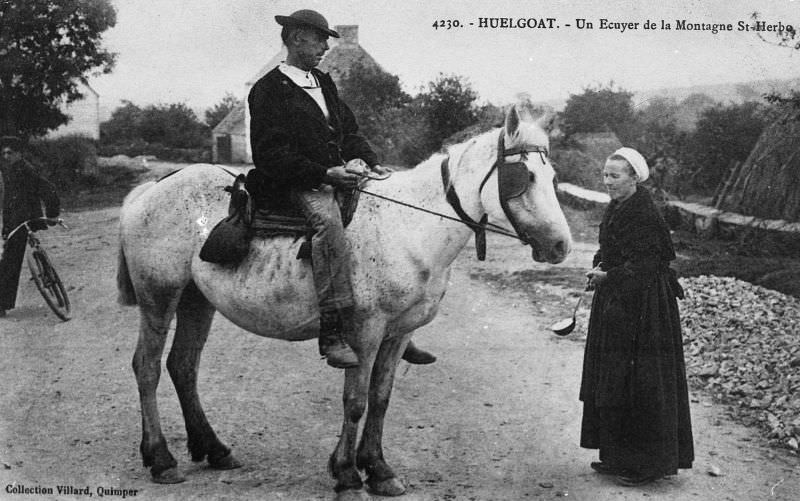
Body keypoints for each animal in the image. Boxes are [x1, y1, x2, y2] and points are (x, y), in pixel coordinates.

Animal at [117, 104, 568, 496]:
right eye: (524, 176)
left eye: (552, 177)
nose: (561, 245)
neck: (409, 226)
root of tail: (150, 189)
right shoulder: (364, 333)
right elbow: (355, 401)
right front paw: (348, 474)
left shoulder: (398, 334)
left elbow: (381, 398)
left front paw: (379, 469)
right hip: (159, 296)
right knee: (147, 367)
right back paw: (161, 458)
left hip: (196, 301)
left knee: (183, 366)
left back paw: (213, 449)